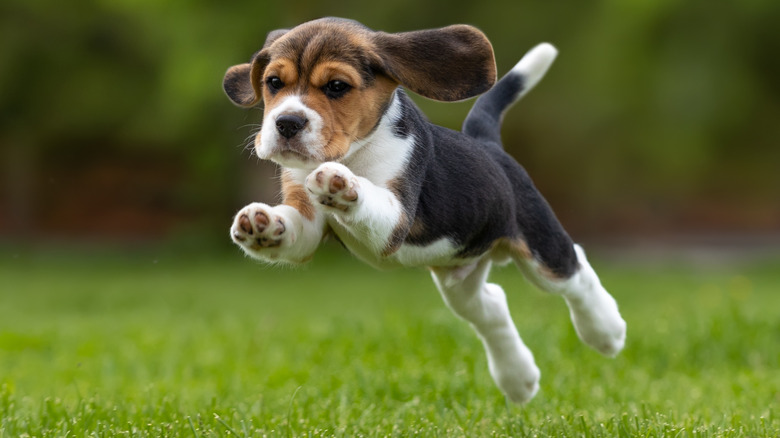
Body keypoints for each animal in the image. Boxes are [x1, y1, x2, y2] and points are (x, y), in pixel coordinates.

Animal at [222, 19, 624, 404]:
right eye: (274, 82)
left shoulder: (396, 216)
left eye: (336, 86)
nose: (287, 123)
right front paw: (260, 224)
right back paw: (518, 380)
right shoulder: (305, 219)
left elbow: (370, 199)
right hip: (459, 279)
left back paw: (607, 331)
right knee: (492, 308)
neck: (353, 151)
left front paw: (343, 186)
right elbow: (294, 229)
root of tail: (488, 146)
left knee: (575, 271)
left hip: (541, 250)